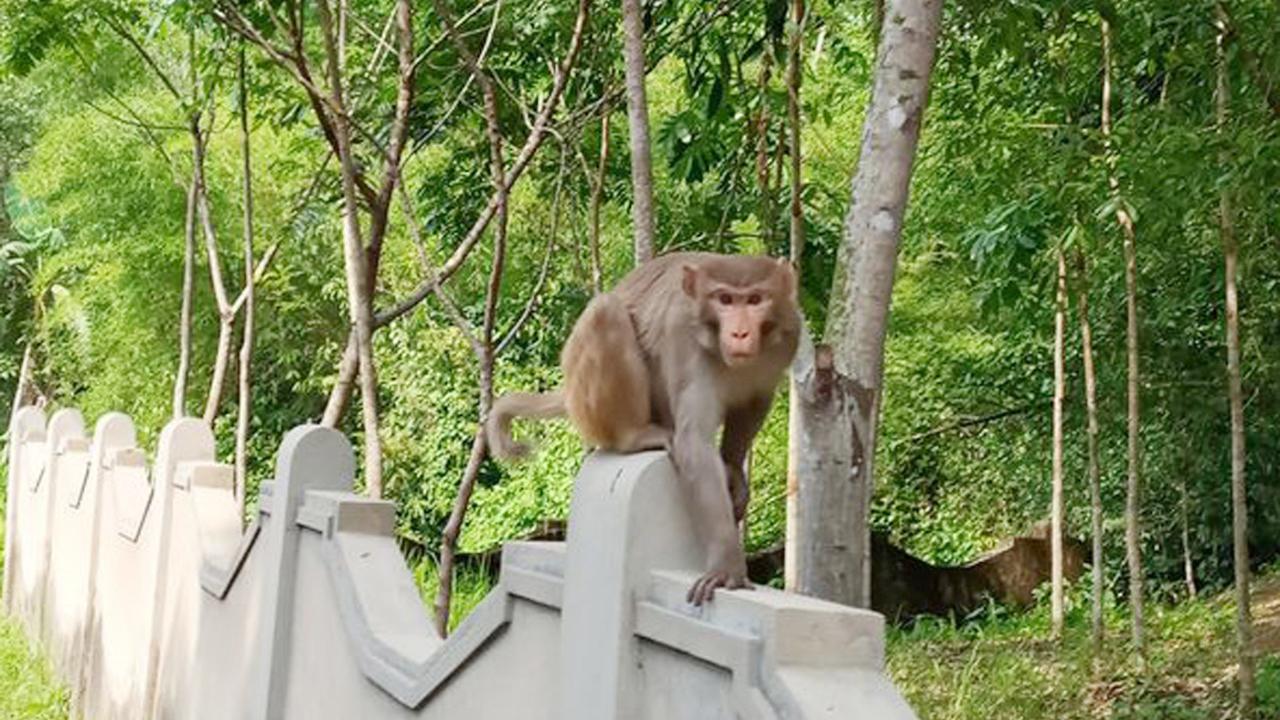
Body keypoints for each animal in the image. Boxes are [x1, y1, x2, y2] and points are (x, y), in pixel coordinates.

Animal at [488, 251, 798, 599]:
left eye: (755, 299)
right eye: (725, 300)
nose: (740, 333)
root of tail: (568, 388)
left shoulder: (787, 340)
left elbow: (755, 401)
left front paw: (731, 467)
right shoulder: (685, 338)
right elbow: (694, 443)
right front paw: (726, 562)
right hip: (587, 398)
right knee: (605, 312)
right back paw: (634, 436)